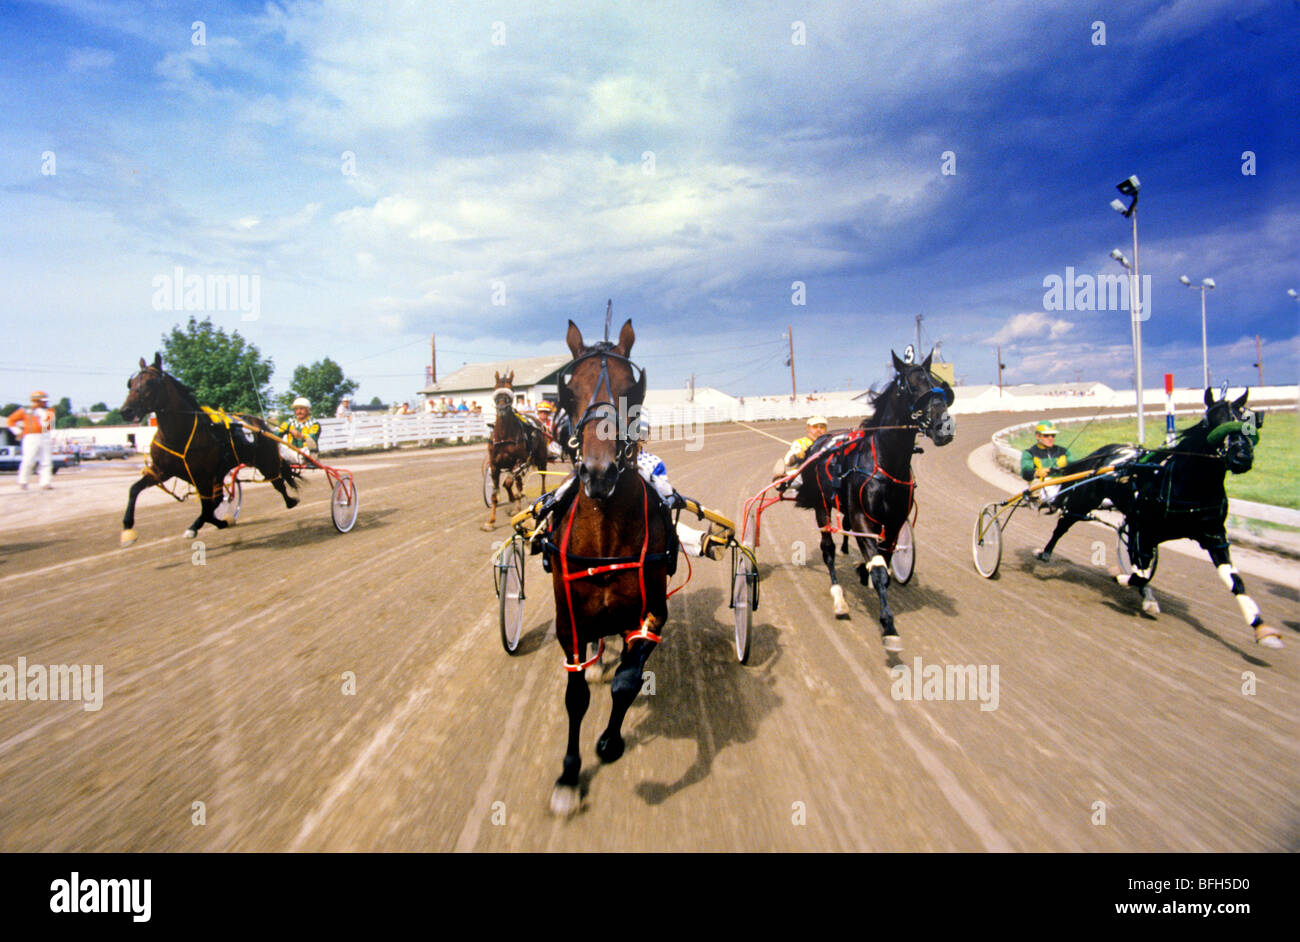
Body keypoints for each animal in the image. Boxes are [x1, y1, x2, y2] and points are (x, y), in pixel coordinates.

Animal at [116, 353, 299, 543]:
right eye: (131, 383)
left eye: (151, 382)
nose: (126, 410)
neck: (179, 435)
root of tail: (260, 423)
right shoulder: (162, 470)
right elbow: (134, 489)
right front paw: (128, 528)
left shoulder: (202, 477)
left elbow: (207, 507)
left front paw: (196, 528)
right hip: (220, 473)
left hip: (266, 462)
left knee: (278, 483)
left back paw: (291, 501)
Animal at [486, 366, 551, 530]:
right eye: (495, 388)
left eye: (511, 389)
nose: (502, 407)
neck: (504, 436)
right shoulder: (494, 465)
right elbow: (496, 493)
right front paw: (491, 521)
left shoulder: (520, 461)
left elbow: (510, 483)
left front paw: (514, 503)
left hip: (541, 458)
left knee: (542, 475)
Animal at [540, 318, 665, 815]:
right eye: (569, 390)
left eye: (633, 389)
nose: (599, 472)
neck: (607, 531)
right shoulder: (568, 620)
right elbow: (576, 697)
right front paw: (568, 776)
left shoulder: (651, 612)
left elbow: (627, 683)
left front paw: (610, 742)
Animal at [790, 348, 956, 649]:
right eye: (910, 385)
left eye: (939, 386)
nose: (944, 426)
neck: (886, 464)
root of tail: (819, 443)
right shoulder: (861, 518)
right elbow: (878, 569)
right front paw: (889, 625)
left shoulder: (894, 522)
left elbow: (885, 560)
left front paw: (864, 572)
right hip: (822, 506)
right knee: (828, 550)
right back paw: (839, 597)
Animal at [1034, 384, 1279, 647]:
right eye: (1215, 421)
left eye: (1250, 420)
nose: (1242, 457)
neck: (1188, 484)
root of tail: (1104, 453)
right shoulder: (1144, 528)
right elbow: (1139, 573)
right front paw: (1124, 579)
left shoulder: (1213, 535)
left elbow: (1235, 581)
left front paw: (1261, 627)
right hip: (1084, 501)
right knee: (1063, 525)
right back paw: (1044, 552)